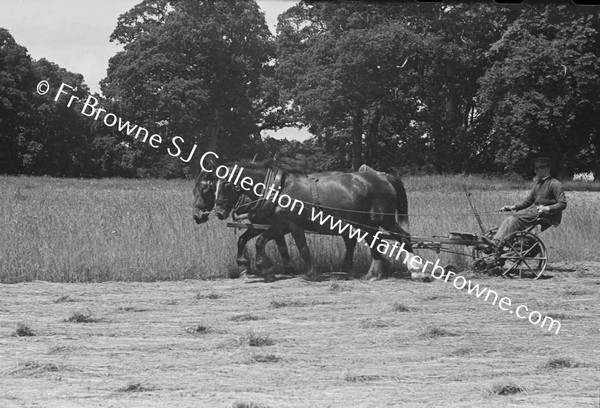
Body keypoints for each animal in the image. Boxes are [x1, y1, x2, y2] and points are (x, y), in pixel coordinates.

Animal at [213, 159, 420, 280]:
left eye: (226, 184)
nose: (218, 212)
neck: (278, 190)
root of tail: (384, 177)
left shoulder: (293, 225)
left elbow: (302, 249)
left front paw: (309, 273)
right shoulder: (279, 225)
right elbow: (256, 241)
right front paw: (254, 267)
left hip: (384, 220)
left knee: (403, 237)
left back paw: (415, 271)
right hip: (368, 223)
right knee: (375, 243)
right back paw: (373, 274)